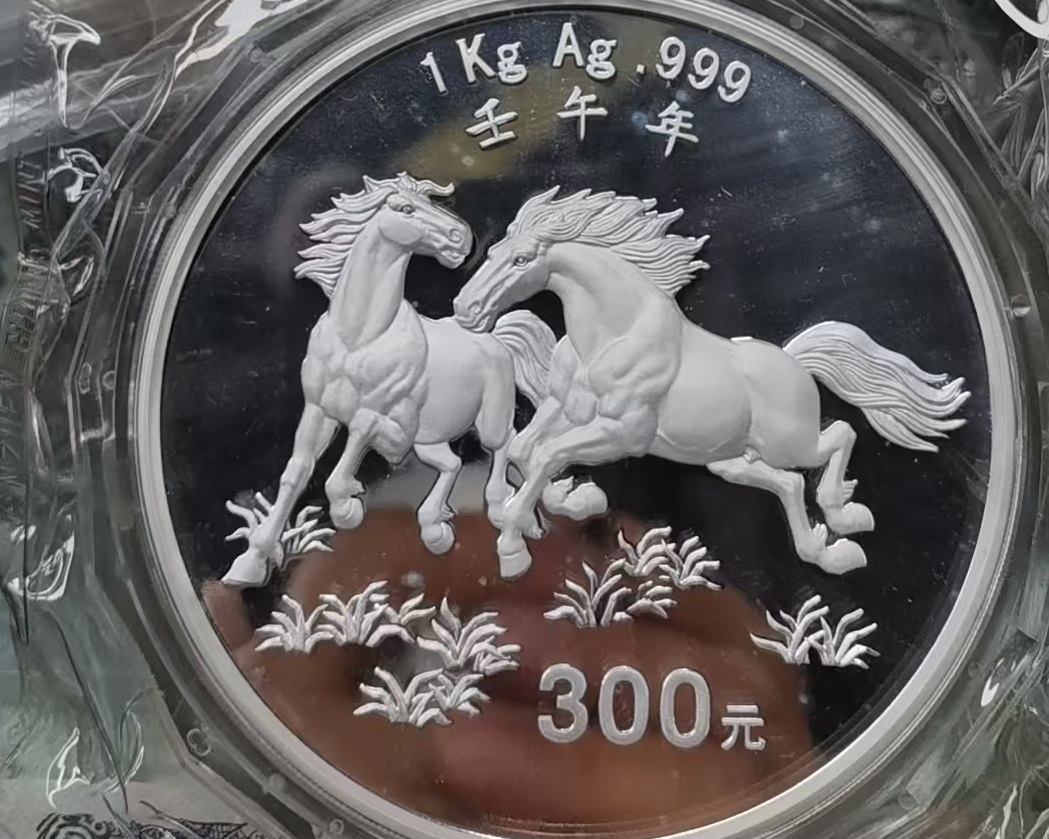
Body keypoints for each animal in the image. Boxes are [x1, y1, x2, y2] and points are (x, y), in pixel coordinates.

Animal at [222, 173, 556, 587]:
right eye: (406, 208)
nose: (461, 238)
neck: (359, 337)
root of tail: (495, 338)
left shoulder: (386, 415)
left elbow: (355, 441)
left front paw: (346, 505)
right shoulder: (318, 411)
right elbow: (296, 472)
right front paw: (250, 562)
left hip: (489, 419)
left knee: (505, 442)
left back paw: (499, 513)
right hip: (430, 439)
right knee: (452, 464)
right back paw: (436, 528)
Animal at [452, 187, 970, 580]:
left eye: (522, 259)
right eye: (493, 252)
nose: (464, 309)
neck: (610, 337)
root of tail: (796, 362)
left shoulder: (622, 435)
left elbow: (545, 455)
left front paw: (513, 546)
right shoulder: (564, 408)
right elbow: (529, 450)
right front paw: (563, 504)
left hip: (790, 442)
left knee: (838, 437)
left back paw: (845, 517)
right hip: (731, 461)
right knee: (787, 485)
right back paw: (827, 550)